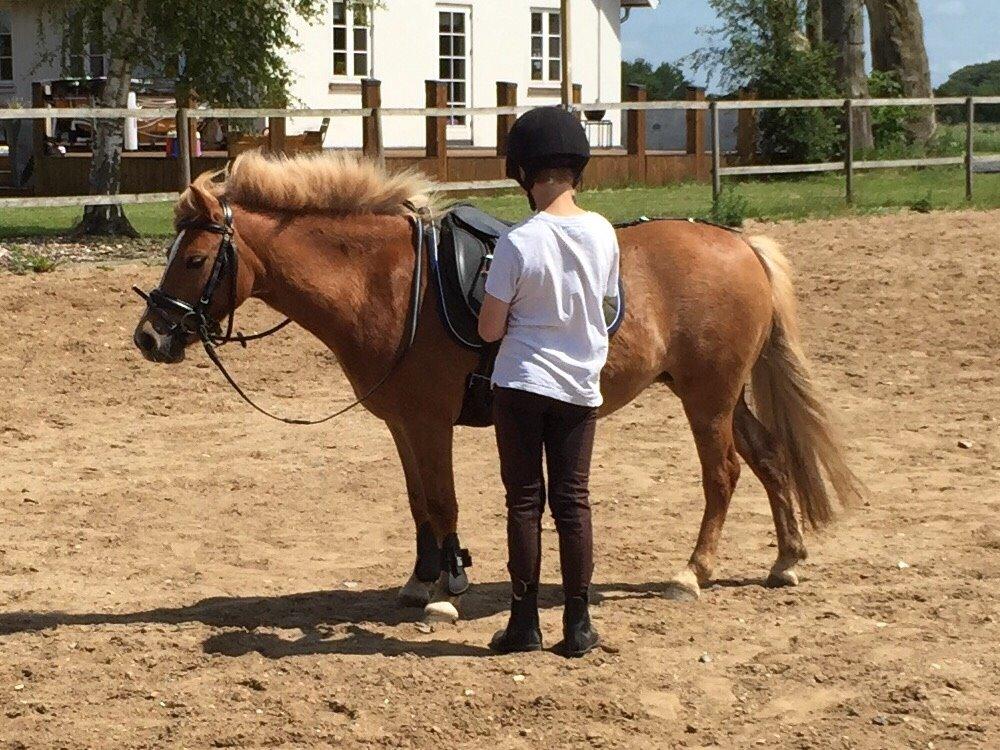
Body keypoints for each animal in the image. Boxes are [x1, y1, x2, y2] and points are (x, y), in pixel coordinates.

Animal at [133, 150, 860, 624]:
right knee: (770, 458)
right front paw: (422, 578)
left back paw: (694, 572)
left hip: (708, 399)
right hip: (719, 394)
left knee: (725, 474)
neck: (389, 283)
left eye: (193, 258)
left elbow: (443, 500)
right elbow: (419, 503)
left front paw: (447, 587)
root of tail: (739, 245)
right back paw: (787, 559)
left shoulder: (430, 420)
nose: (149, 336)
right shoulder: (403, 423)